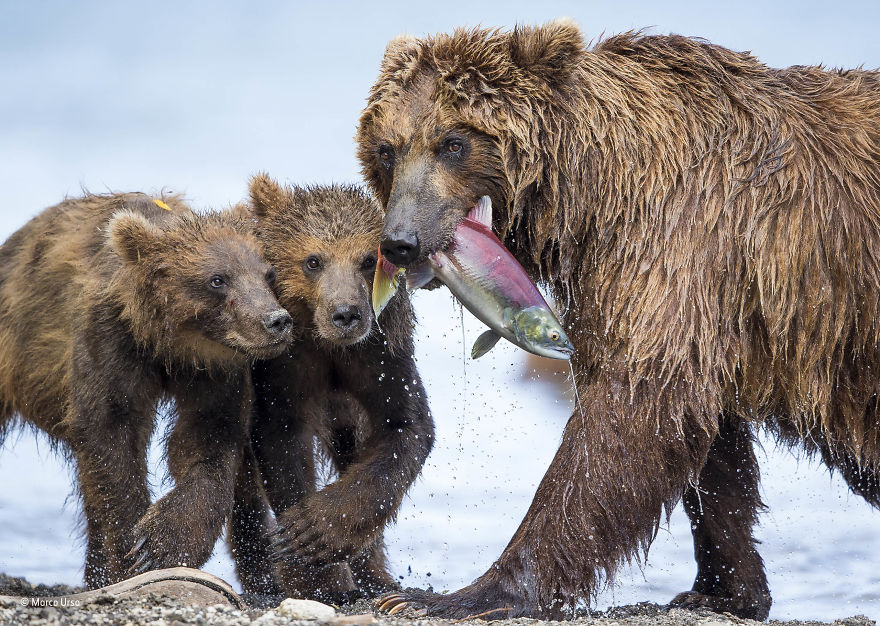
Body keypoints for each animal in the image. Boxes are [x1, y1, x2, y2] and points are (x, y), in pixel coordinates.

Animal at [0, 192, 293, 588]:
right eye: (217, 279)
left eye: (268, 274)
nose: (275, 320)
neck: (168, 344)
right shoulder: (110, 339)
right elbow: (112, 434)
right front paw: (135, 548)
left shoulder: (216, 368)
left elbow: (208, 437)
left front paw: (164, 543)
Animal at [226, 175, 434, 602]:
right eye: (313, 260)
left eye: (368, 260)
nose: (346, 314)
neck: (330, 348)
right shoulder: (285, 366)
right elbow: (281, 439)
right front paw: (317, 576)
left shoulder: (381, 356)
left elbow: (403, 430)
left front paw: (317, 531)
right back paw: (262, 578)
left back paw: (377, 578)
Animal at [355, 20, 880, 620]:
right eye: (387, 148)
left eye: (453, 142)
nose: (400, 241)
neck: (592, 193)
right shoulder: (697, 294)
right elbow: (707, 444)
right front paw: (725, 587)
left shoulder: (677, 238)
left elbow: (630, 412)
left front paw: (464, 593)